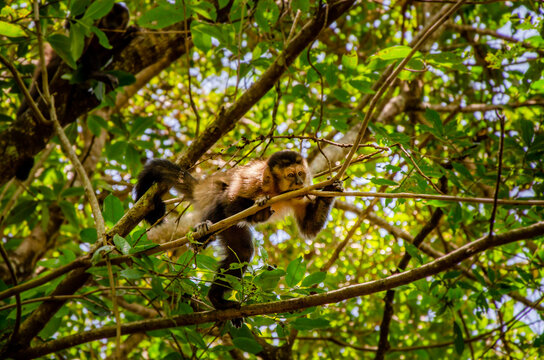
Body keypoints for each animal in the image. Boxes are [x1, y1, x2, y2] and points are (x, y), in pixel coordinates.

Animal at [134, 149, 342, 326]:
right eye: (291, 175)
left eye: (301, 173)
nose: (299, 182)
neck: (275, 189)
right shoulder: (254, 179)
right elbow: (230, 203)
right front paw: (259, 209)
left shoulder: (300, 193)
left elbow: (309, 228)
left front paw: (331, 189)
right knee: (222, 198)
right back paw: (204, 231)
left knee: (242, 253)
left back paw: (217, 299)